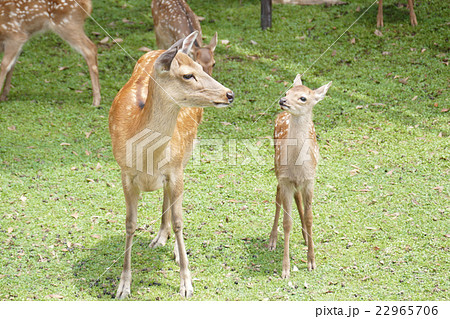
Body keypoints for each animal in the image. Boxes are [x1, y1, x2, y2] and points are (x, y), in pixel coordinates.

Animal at [109, 31, 234, 298]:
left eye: (203, 67)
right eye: (187, 75)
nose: (229, 94)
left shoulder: (175, 170)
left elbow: (179, 221)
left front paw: (186, 283)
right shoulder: (125, 173)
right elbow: (129, 224)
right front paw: (123, 285)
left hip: (185, 156)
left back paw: (172, 246)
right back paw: (159, 238)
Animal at [268, 75, 332, 280]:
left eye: (303, 98)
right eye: (287, 91)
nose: (282, 100)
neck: (297, 165)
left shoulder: (310, 180)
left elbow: (310, 218)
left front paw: (312, 261)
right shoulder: (285, 179)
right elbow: (287, 223)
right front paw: (285, 269)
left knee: (298, 200)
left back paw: (305, 236)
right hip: (277, 168)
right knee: (277, 198)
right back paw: (272, 240)